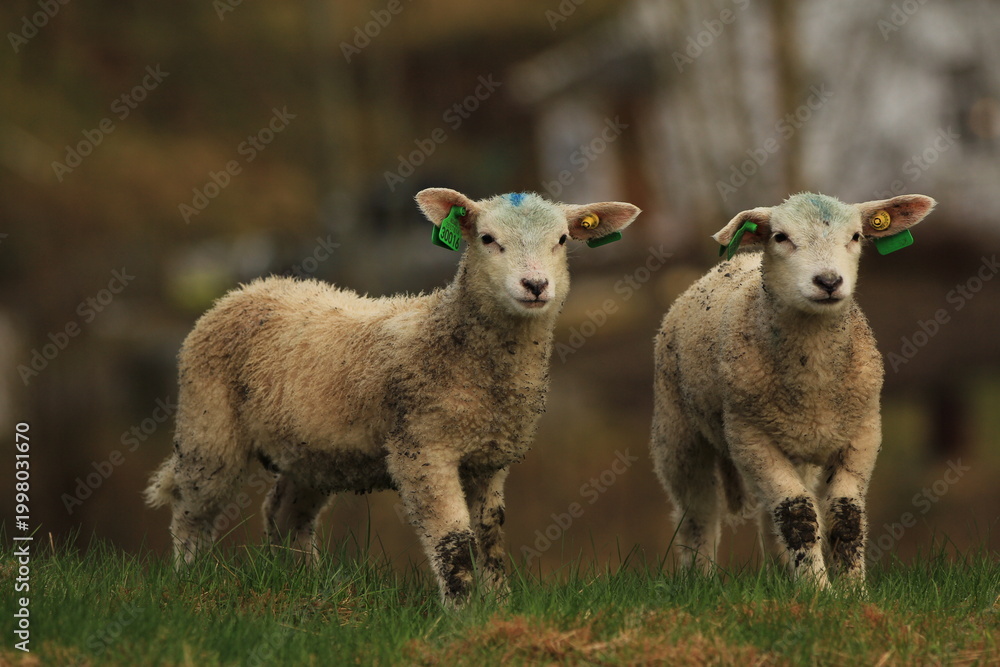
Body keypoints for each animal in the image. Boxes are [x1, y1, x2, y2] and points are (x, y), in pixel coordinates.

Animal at [145, 187, 640, 604]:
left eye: (561, 239)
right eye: (487, 239)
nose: (535, 286)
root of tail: (244, 289)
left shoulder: (489, 460)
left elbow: (490, 538)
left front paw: (499, 606)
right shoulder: (421, 450)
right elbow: (453, 542)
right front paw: (461, 612)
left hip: (313, 454)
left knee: (285, 515)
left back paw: (304, 586)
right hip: (208, 424)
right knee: (191, 512)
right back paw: (188, 583)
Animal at [650, 192, 936, 587]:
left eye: (856, 236)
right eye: (781, 237)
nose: (828, 281)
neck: (813, 380)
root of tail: (736, 261)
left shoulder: (863, 433)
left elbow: (845, 514)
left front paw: (852, 589)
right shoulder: (751, 437)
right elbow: (796, 512)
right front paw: (818, 588)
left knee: (766, 515)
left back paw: (779, 578)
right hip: (678, 432)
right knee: (697, 515)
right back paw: (699, 581)